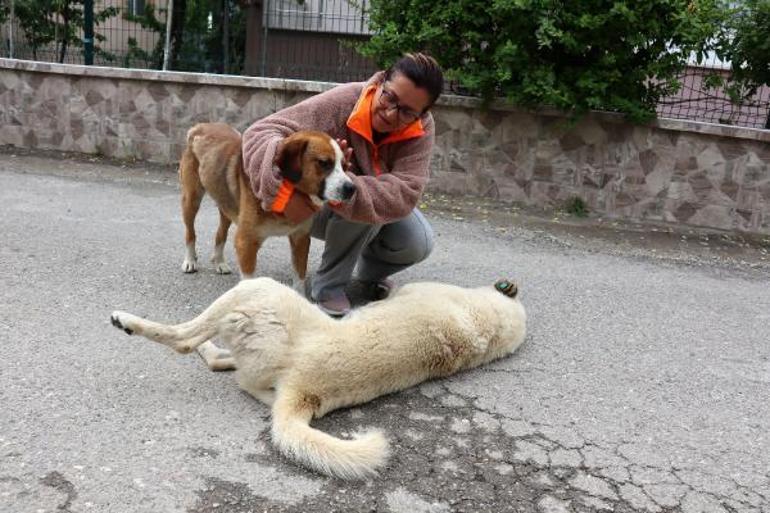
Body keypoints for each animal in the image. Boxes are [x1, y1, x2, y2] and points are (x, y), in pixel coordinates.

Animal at [109, 278, 528, 478]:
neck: (489, 326)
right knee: (222, 363)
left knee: (183, 339)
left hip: (256, 291)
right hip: (258, 369)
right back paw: (208, 350)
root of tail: (302, 391)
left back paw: (130, 322)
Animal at [178, 123, 356, 372]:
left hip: (226, 208)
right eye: (324, 163)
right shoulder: (246, 241)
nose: (352, 188)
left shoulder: (300, 238)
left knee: (220, 233)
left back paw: (219, 261)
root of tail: (202, 126)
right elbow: (250, 282)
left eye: (345, 164)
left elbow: (299, 276)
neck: (287, 190)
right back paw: (190, 260)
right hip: (191, 199)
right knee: (190, 233)